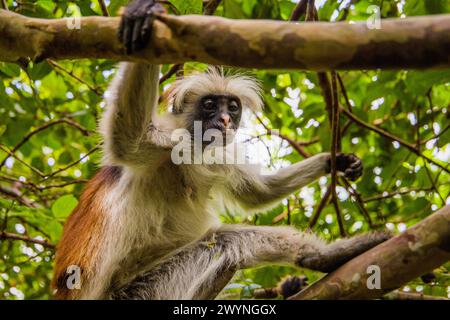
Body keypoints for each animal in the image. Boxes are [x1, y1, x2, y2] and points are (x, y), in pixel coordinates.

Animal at [51, 0, 390, 300]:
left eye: (233, 107)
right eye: (211, 104)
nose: (225, 119)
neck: (192, 154)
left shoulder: (217, 156)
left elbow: (257, 193)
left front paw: (334, 161)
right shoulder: (168, 143)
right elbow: (127, 137)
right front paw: (142, 13)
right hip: (138, 293)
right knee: (228, 240)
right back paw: (321, 257)